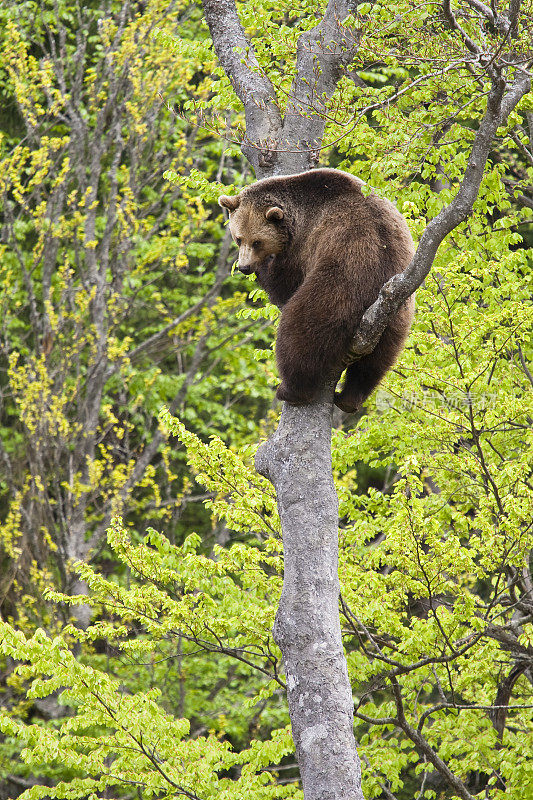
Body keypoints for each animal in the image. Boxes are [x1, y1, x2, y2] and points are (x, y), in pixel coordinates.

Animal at [218, 165, 414, 410]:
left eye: (257, 242)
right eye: (238, 238)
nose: (244, 267)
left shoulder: (305, 244)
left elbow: (283, 283)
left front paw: (264, 268)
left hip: (338, 284)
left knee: (301, 332)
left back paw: (291, 390)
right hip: (397, 317)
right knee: (375, 363)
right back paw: (349, 398)